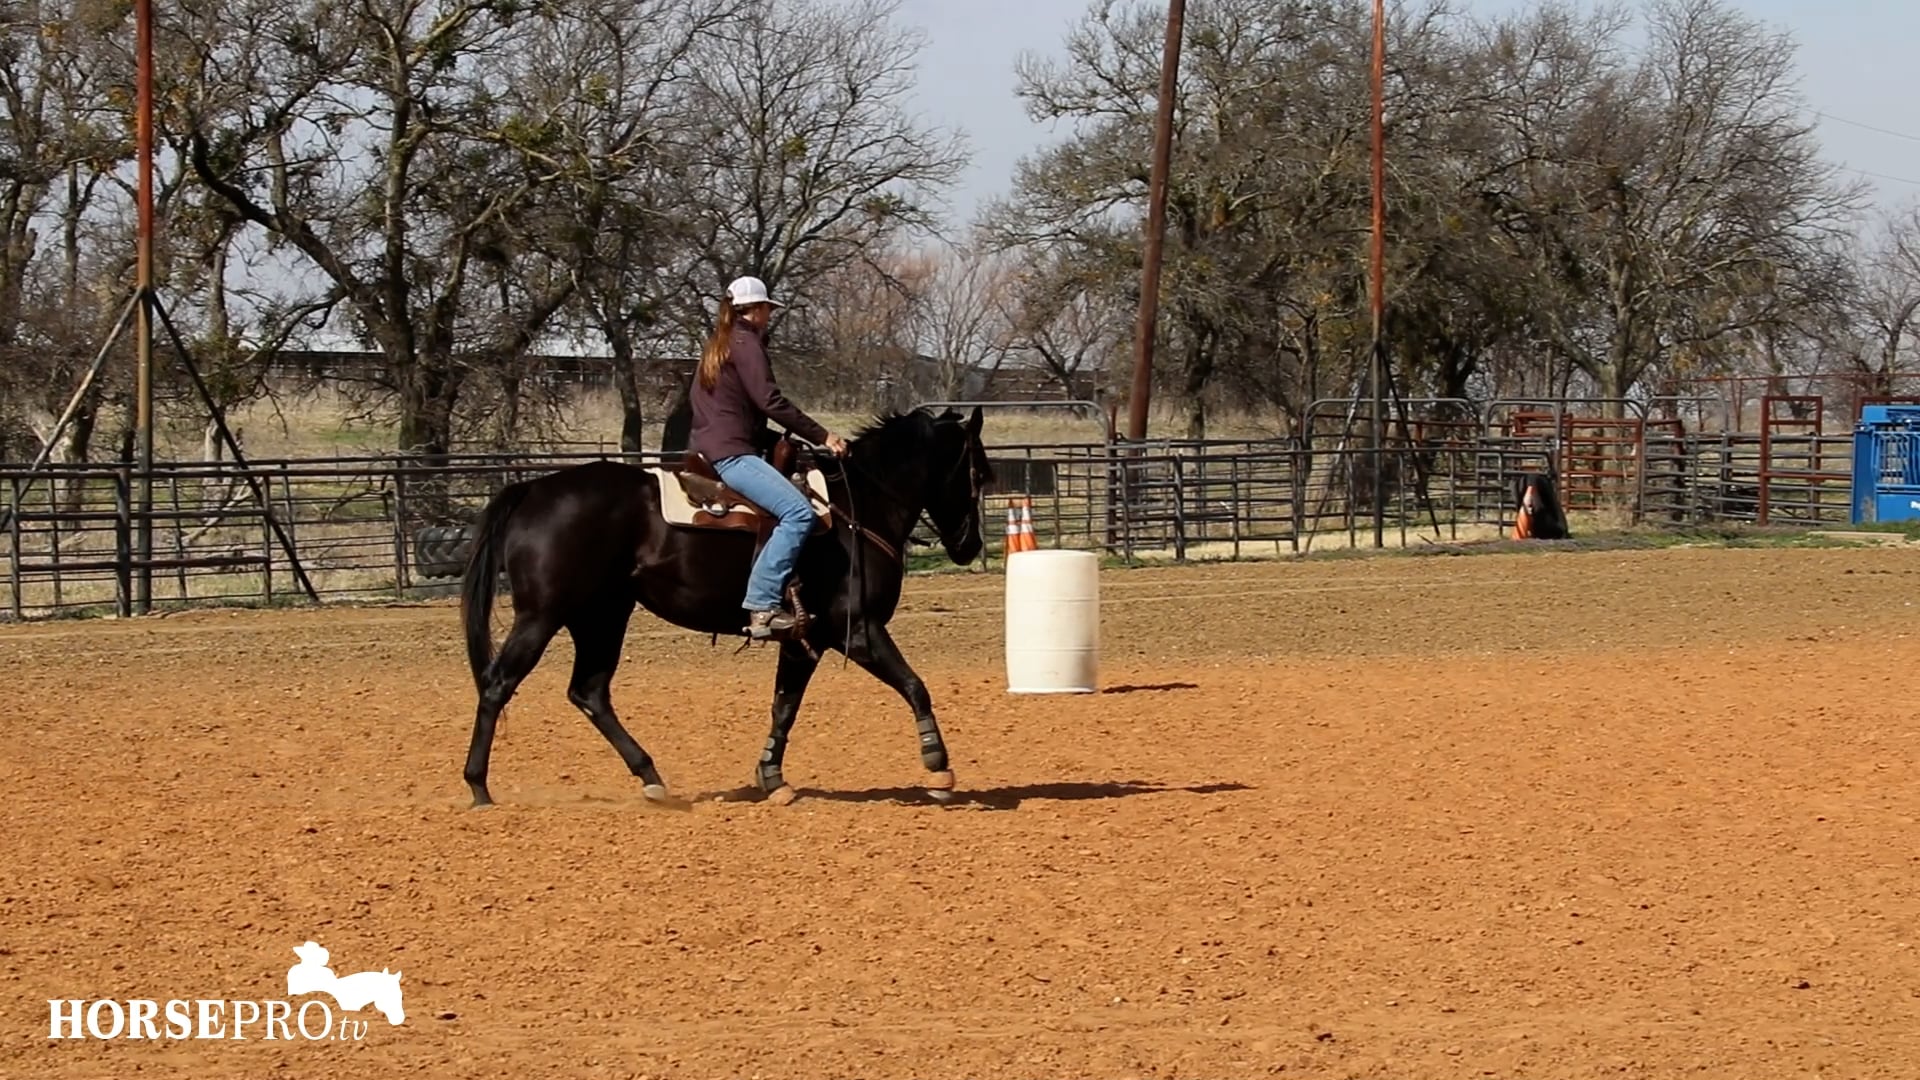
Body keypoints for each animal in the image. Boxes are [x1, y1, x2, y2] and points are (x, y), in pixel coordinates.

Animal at [456, 406, 994, 809]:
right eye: (980, 472)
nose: (970, 546)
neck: (855, 507)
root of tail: (533, 489)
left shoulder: (804, 640)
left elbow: (784, 707)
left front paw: (773, 778)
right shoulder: (859, 629)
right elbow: (914, 685)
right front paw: (938, 766)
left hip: (603, 616)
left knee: (589, 691)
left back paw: (651, 778)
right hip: (543, 616)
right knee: (498, 683)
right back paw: (479, 786)